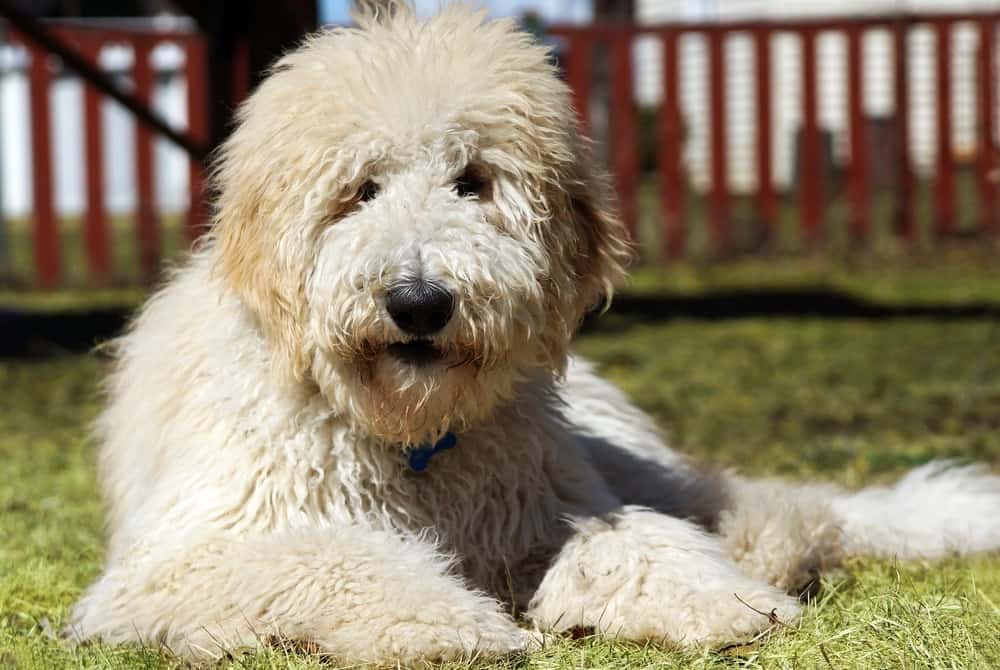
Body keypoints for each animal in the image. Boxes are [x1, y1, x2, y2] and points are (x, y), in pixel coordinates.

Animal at [68, 3, 1000, 668]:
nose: (419, 303)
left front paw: (720, 598)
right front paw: (447, 621)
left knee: (758, 502)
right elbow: (327, 557)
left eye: (472, 180)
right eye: (360, 190)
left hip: (610, 452)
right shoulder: (184, 559)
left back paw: (770, 549)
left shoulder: (538, 507)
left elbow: (630, 541)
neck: (409, 440)